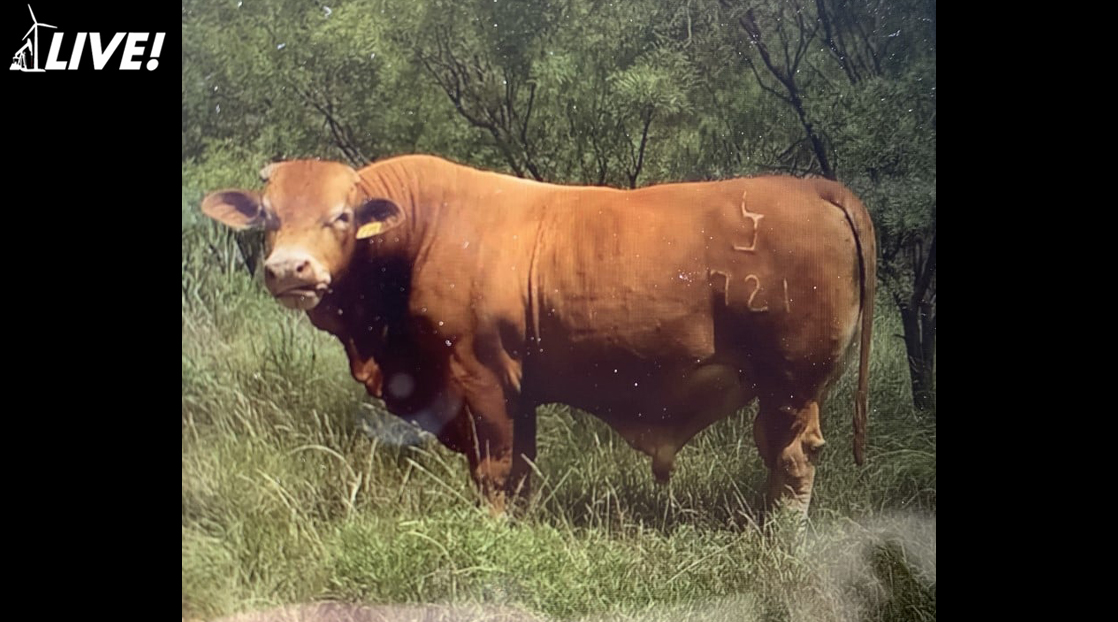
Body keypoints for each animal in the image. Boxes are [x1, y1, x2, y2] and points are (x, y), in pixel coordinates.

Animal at [201, 155, 875, 517]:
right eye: (268, 216)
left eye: (341, 216)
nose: (289, 269)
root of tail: (813, 186)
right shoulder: (516, 386)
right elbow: (521, 463)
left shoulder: (480, 375)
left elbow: (496, 465)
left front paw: (493, 527)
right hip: (785, 387)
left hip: (791, 381)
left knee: (793, 457)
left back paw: (778, 537)